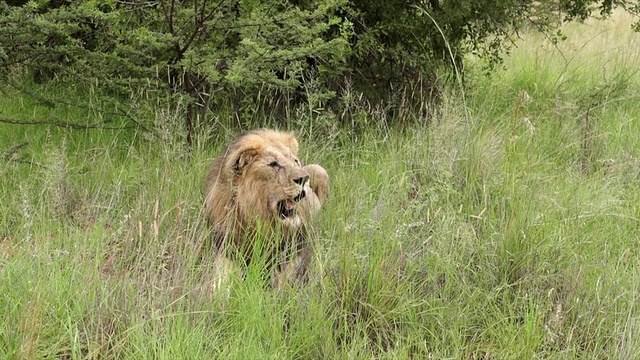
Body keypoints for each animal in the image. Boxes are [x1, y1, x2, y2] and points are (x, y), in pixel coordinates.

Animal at [204, 129, 328, 286]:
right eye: (273, 164)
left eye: (295, 161)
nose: (304, 179)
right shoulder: (226, 249)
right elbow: (218, 281)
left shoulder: (291, 255)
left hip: (320, 170)